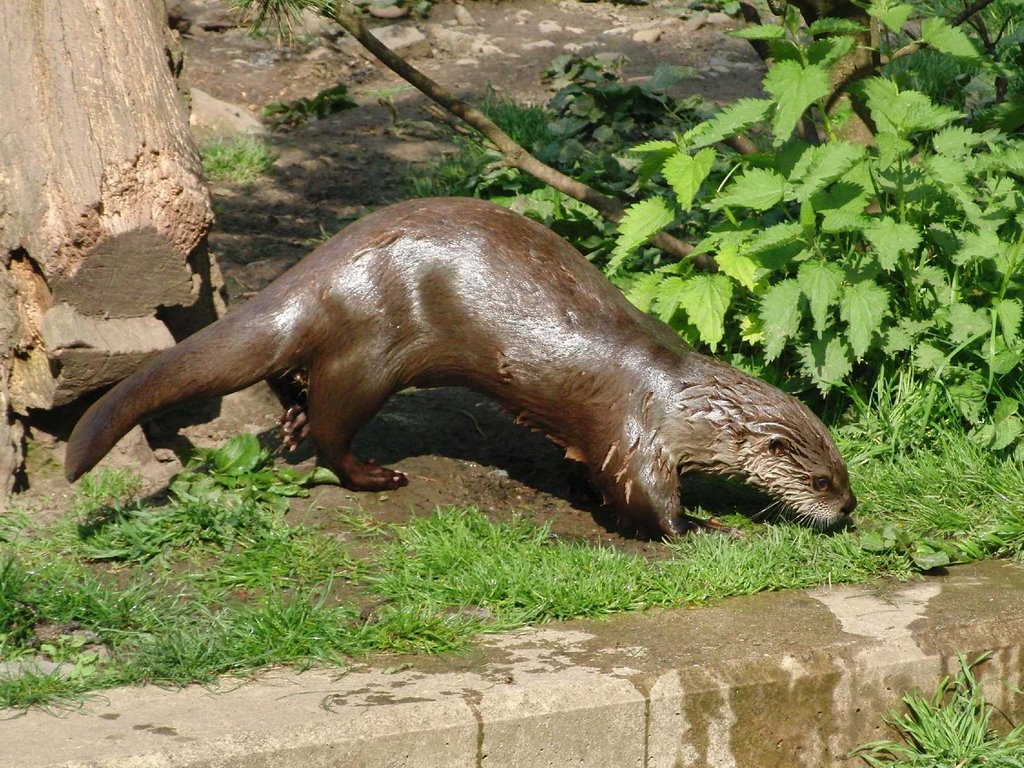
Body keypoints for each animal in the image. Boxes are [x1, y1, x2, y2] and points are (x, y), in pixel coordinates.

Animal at [64, 195, 856, 536]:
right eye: (820, 480)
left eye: (842, 471)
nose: (849, 507)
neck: (677, 398)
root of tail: (323, 271)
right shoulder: (637, 438)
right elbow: (648, 504)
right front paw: (708, 529)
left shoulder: (600, 436)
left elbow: (584, 466)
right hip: (371, 354)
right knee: (333, 426)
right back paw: (374, 474)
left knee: (289, 375)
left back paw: (286, 420)